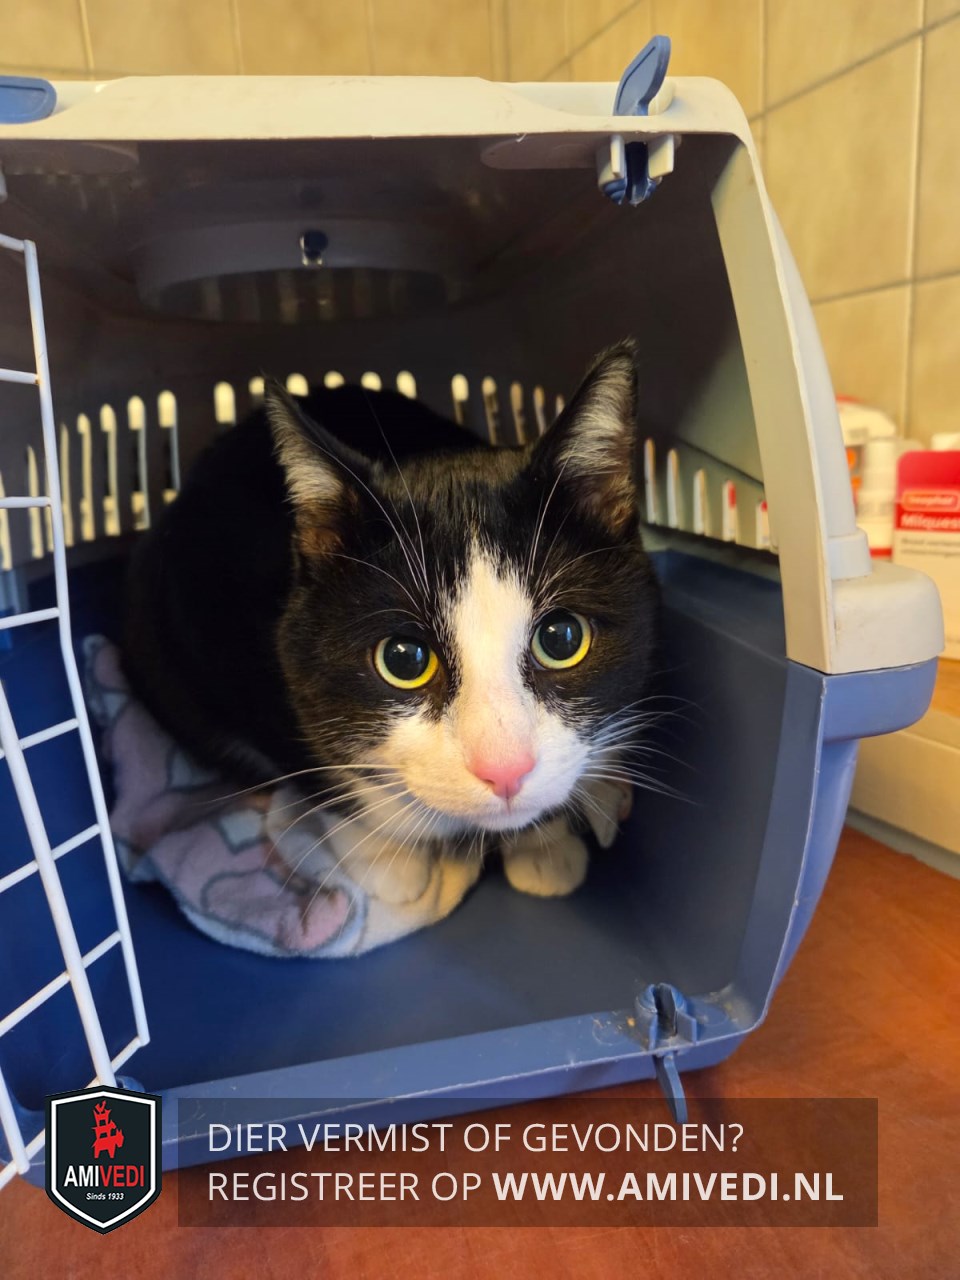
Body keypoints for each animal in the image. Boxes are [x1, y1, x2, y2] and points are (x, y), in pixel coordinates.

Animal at [121, 342, 660, 900]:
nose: (504, 769)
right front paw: (394, 865)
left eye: (562, 638)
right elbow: (328, 779)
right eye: (403, 660)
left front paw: (543, 846)